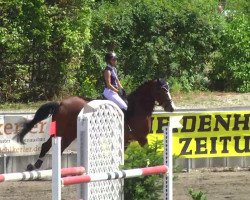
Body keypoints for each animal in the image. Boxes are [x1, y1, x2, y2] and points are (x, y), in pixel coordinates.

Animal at [13, 79, 174, 171]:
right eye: (163, 90)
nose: (171, 108)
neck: (137, 108)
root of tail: (61, 103)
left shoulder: (127, 140)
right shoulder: (141, 138)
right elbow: (149, 152)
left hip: (68, 134)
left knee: (55, 147)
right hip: (64, 132)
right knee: (46, 145)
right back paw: (35, 166)